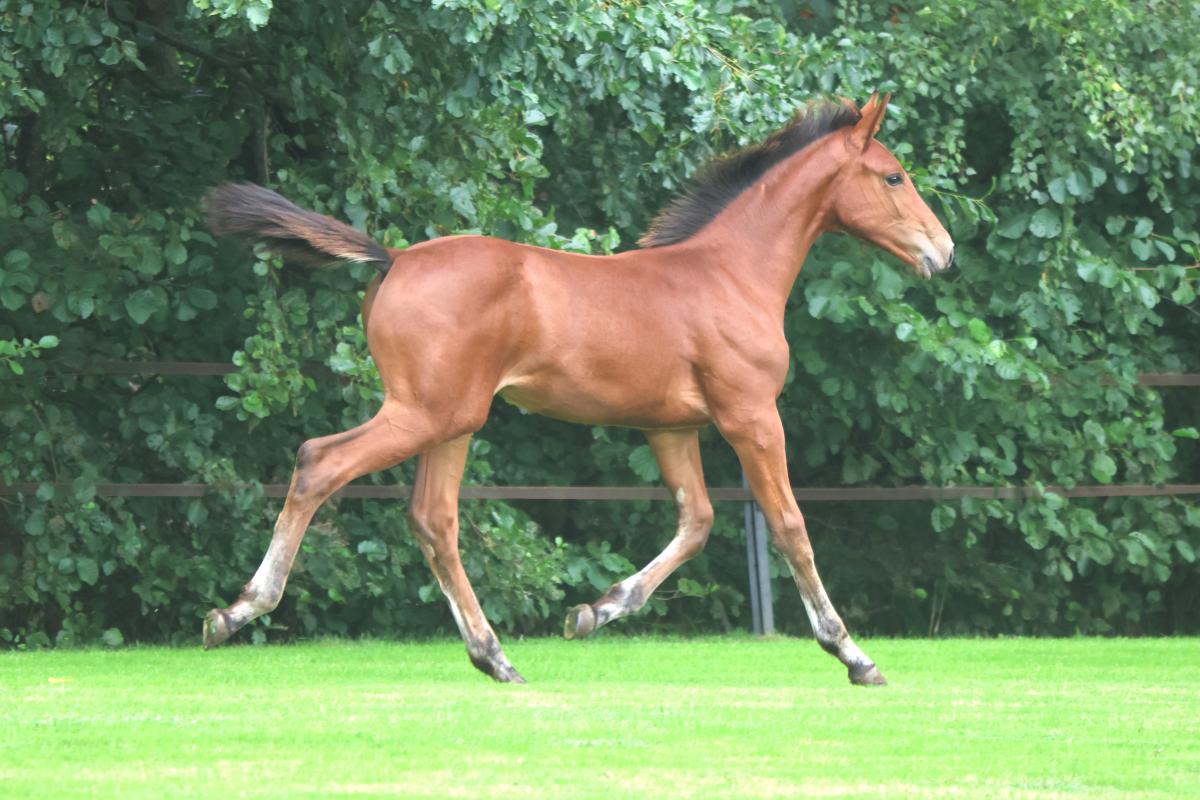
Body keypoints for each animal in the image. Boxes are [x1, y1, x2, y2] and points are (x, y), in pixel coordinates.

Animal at [202, 93, 954, 685]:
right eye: (893, 176)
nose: (942, 251)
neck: (730, 272)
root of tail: (394, 259)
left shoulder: (671, 426)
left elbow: (697, 522)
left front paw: (594, 612)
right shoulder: (750, 415)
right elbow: (791, 525)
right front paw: (854, 655)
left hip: (453, 421)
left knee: (433, 519)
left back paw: (494, 657)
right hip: (424, 412)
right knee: (319, 462)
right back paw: (236, 613)